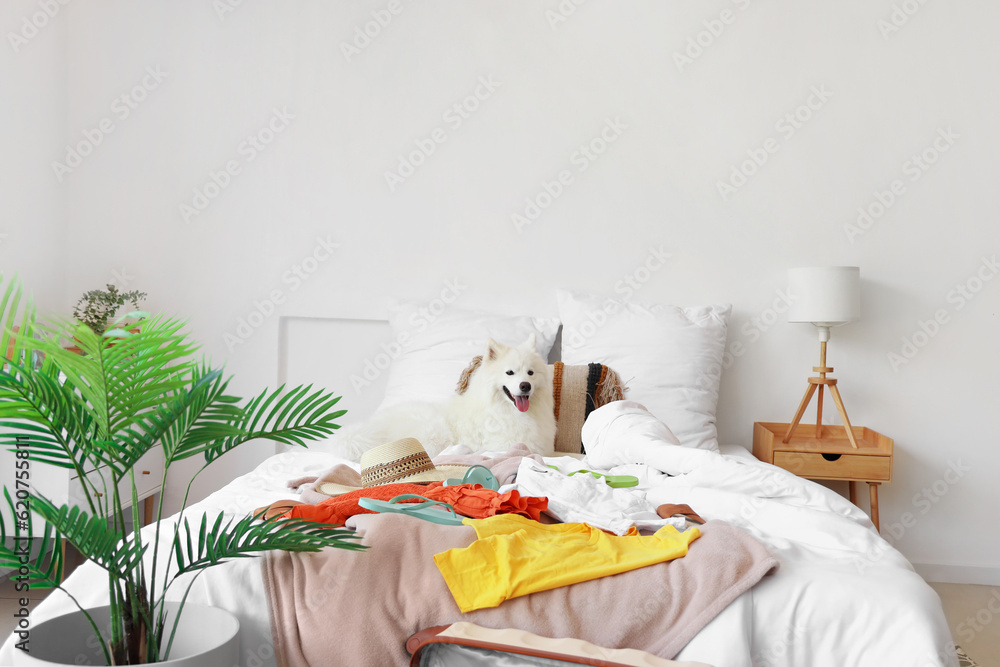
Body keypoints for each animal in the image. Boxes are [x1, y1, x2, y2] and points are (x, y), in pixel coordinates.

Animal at [332, 336, 560, 462]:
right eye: (510, 373)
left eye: (530, 373)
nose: (525, 386)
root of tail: (372, 427)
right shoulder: (505, 446)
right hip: (435, 431)